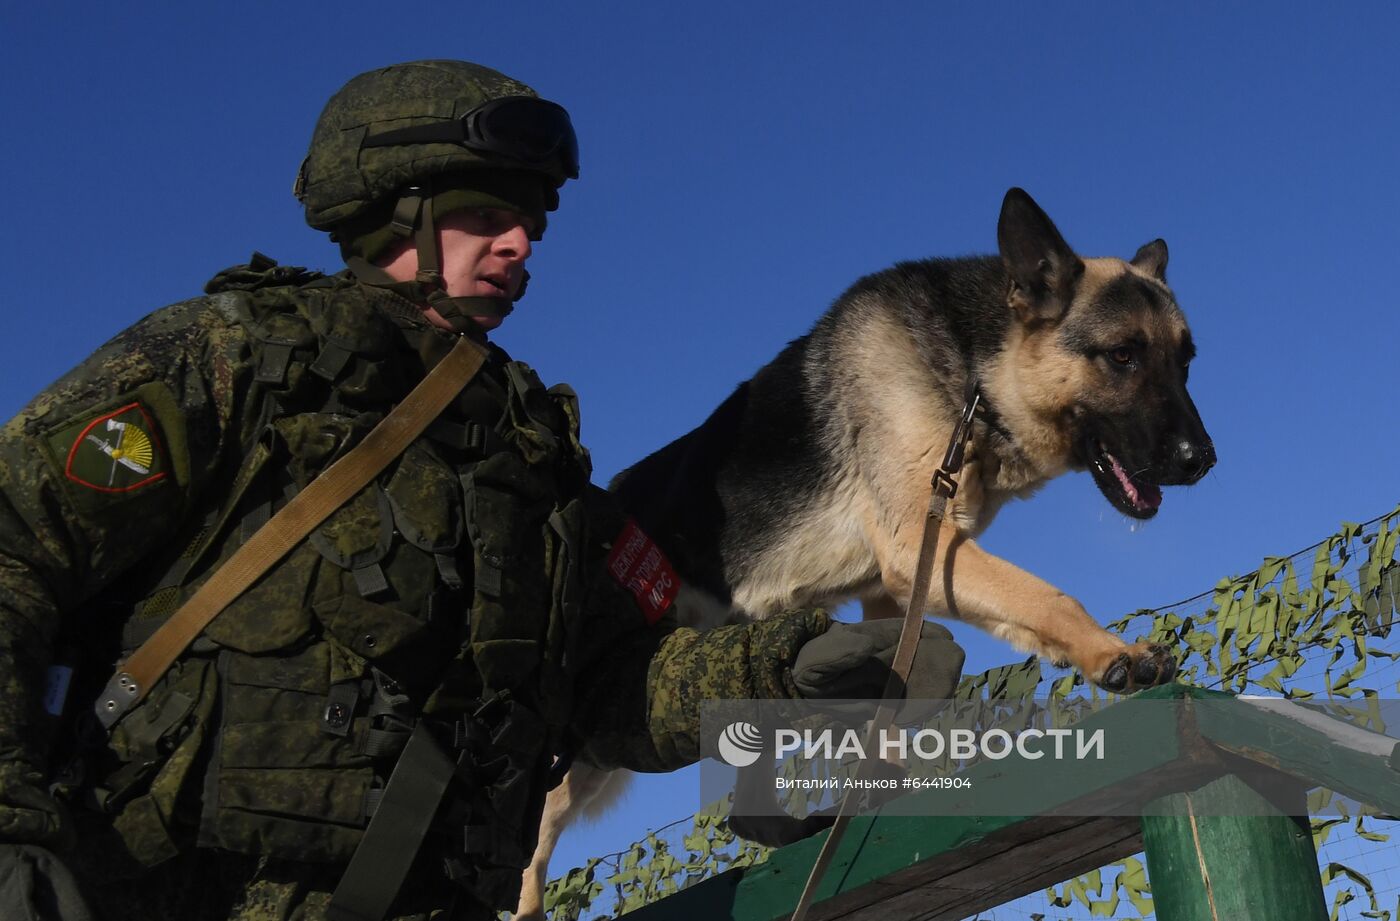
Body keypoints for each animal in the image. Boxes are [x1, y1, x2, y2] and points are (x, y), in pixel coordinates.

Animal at [515, 190, 1215, 912]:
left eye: (1185, 361)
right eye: (1123, 355)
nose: (1203, 460)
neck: (974, 375)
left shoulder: (893, 586)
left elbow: (895, 695)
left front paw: (886, 782)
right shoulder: (919, 547)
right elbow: (1045, 593)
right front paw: (1112, 651)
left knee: (746, 804)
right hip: (585, 746)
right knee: (533, 839)